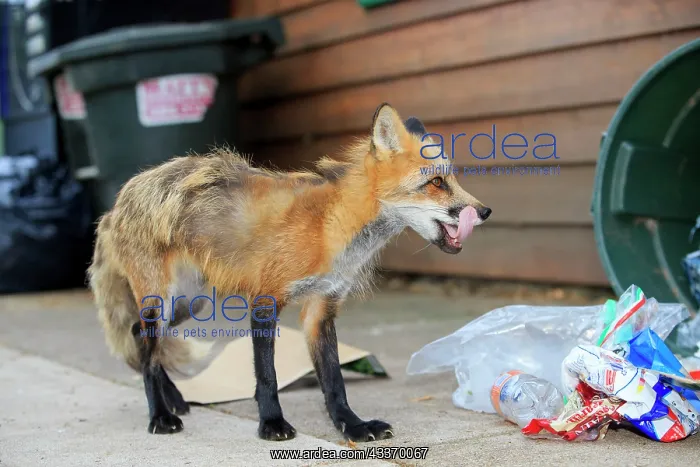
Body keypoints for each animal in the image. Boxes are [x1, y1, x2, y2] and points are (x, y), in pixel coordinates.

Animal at [87, 103, 491, 441]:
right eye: (436, 183)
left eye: (452, 179)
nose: (485, 211)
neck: (330, 226)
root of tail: (116, 203)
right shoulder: (266, 301)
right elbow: (267, 375)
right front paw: (271, 424)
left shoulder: (321, 307)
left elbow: (334, 381)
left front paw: (352, 426)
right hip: (163, 300)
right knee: (146, 348)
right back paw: (159, 416)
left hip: (189, 303)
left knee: (139, 337)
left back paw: (173, 400)